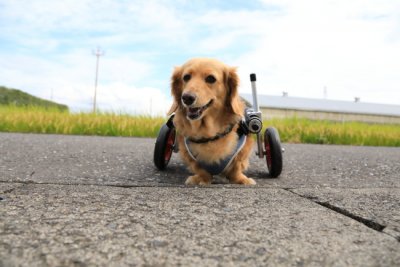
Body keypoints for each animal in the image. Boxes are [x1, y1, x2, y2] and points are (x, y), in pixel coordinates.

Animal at [166, 57, 255, 185]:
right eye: (186, 77)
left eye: (210, 78)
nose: (187, 98)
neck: (208, 133)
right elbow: (199, 168)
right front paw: (201, 179)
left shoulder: (243, 149)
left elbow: (236, 167)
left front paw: (241, 180)